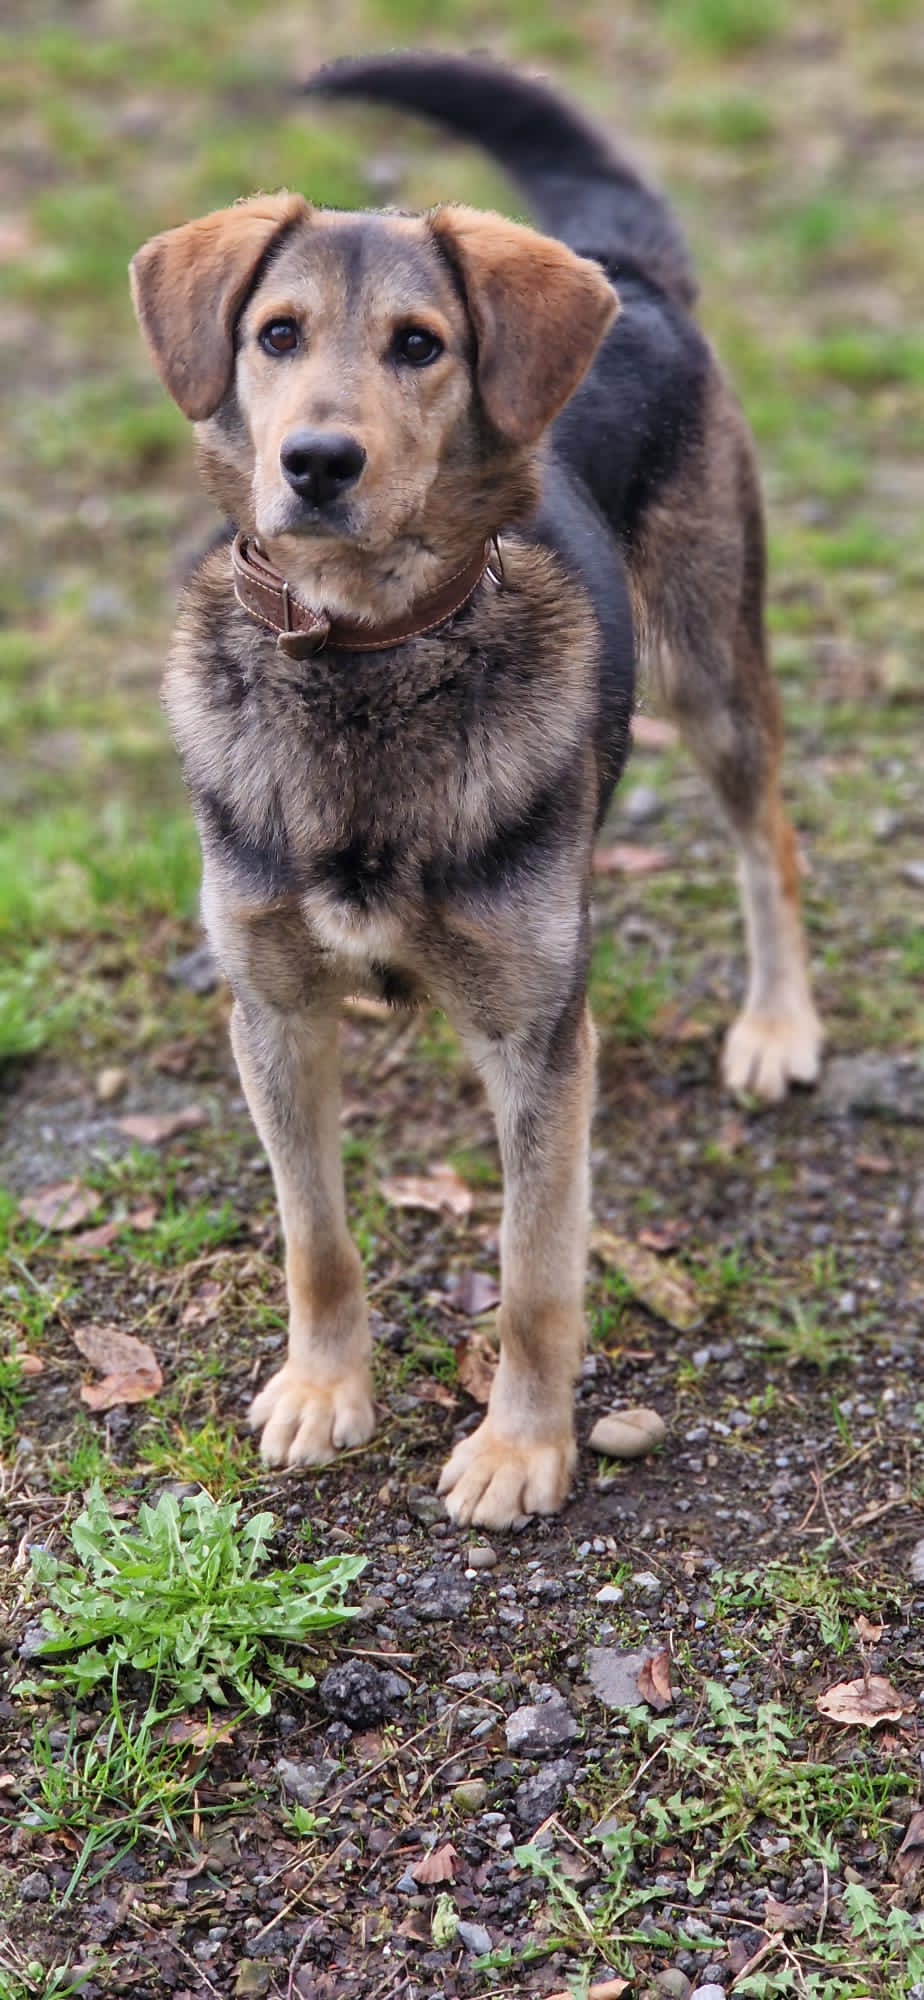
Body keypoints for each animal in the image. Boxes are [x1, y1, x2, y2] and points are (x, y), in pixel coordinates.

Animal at [130, 53, 821, 1530]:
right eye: (275, 334)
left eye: (419, 345)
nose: (318, 463)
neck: (365, 657)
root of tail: (629, 272)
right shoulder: (271, 1009)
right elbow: (316, 1235)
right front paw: (326, 1388)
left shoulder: (540, 1041)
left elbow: (534, 1270)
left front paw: (521, 1447)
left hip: (711, 669)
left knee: (769, 841)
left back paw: (777, 1024)